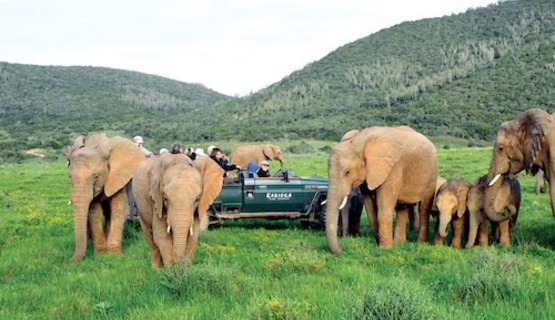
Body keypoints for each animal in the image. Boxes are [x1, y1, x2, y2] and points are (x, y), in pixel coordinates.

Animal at [63, 134, 146, 262]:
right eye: (70, 177)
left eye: (96, 176)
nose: (66, 260)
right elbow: (95, 213)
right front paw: (101, 255)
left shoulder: (118, 177)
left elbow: (118, 209)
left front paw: (114, 256)